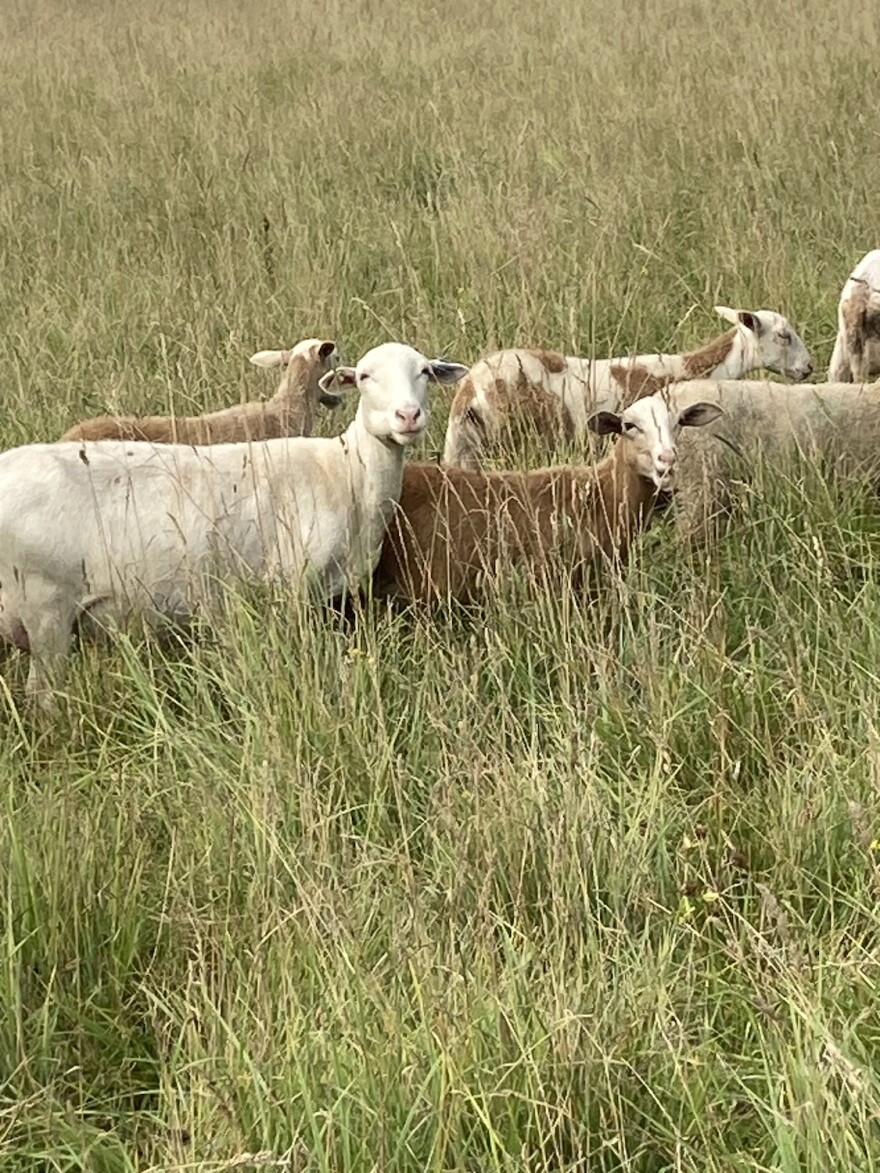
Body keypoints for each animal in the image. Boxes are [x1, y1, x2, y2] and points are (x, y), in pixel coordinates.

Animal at [0, 340, 469, 703]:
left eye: (425, 372)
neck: (346, 471)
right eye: (366, 377)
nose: (408, 416)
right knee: (43, 696)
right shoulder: (288, 588)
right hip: (45, 607)